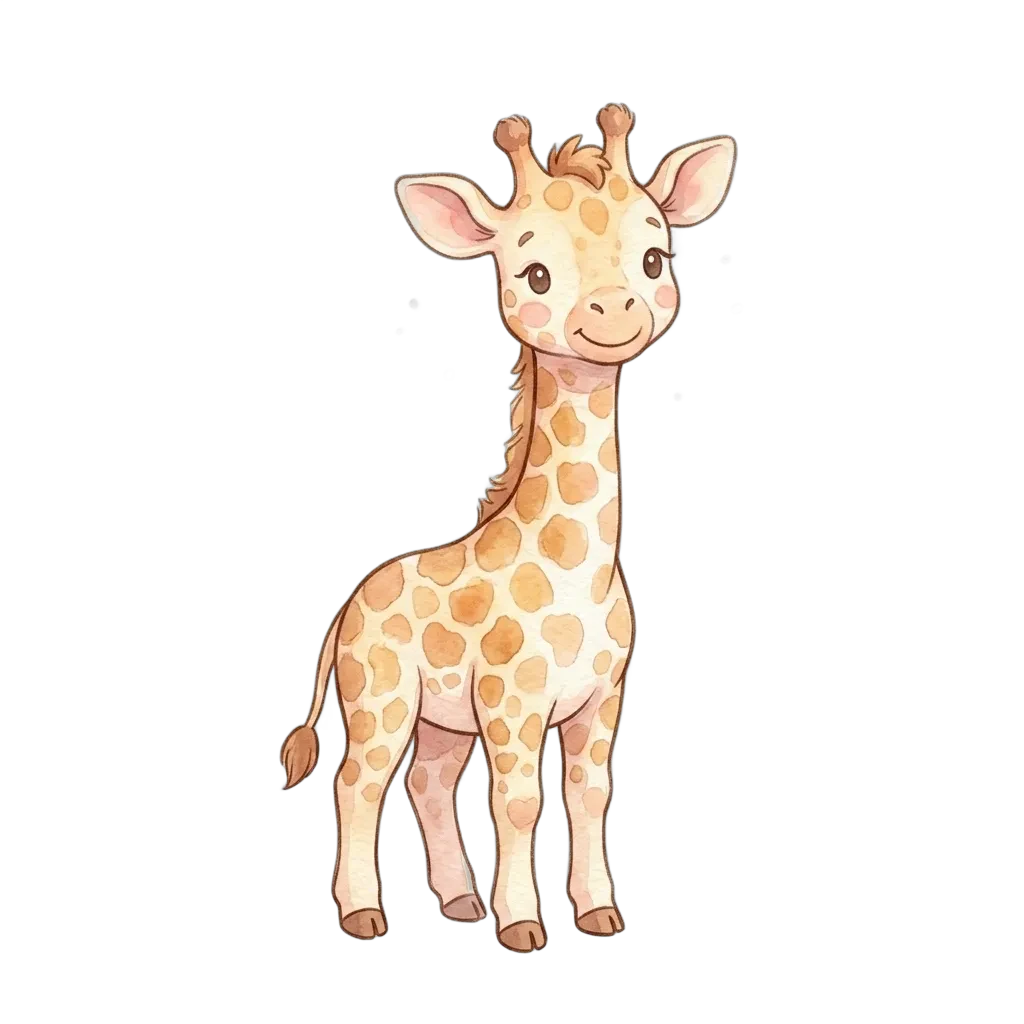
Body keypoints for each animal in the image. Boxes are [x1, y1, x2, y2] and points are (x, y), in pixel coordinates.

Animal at [281, 104, 737, 952]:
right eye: (535, 274)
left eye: (655, 257)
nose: (613, 313)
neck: (577, 567)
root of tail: (349, 608)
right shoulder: (512, 700)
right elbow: (519, 801)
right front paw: (523, 927)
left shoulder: (599, 698)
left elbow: (589, 796)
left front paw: (598, 914)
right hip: (381, 695)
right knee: (359, 781)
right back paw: (364, 914)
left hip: (441, 718)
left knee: (425, 780)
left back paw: (460, 902)